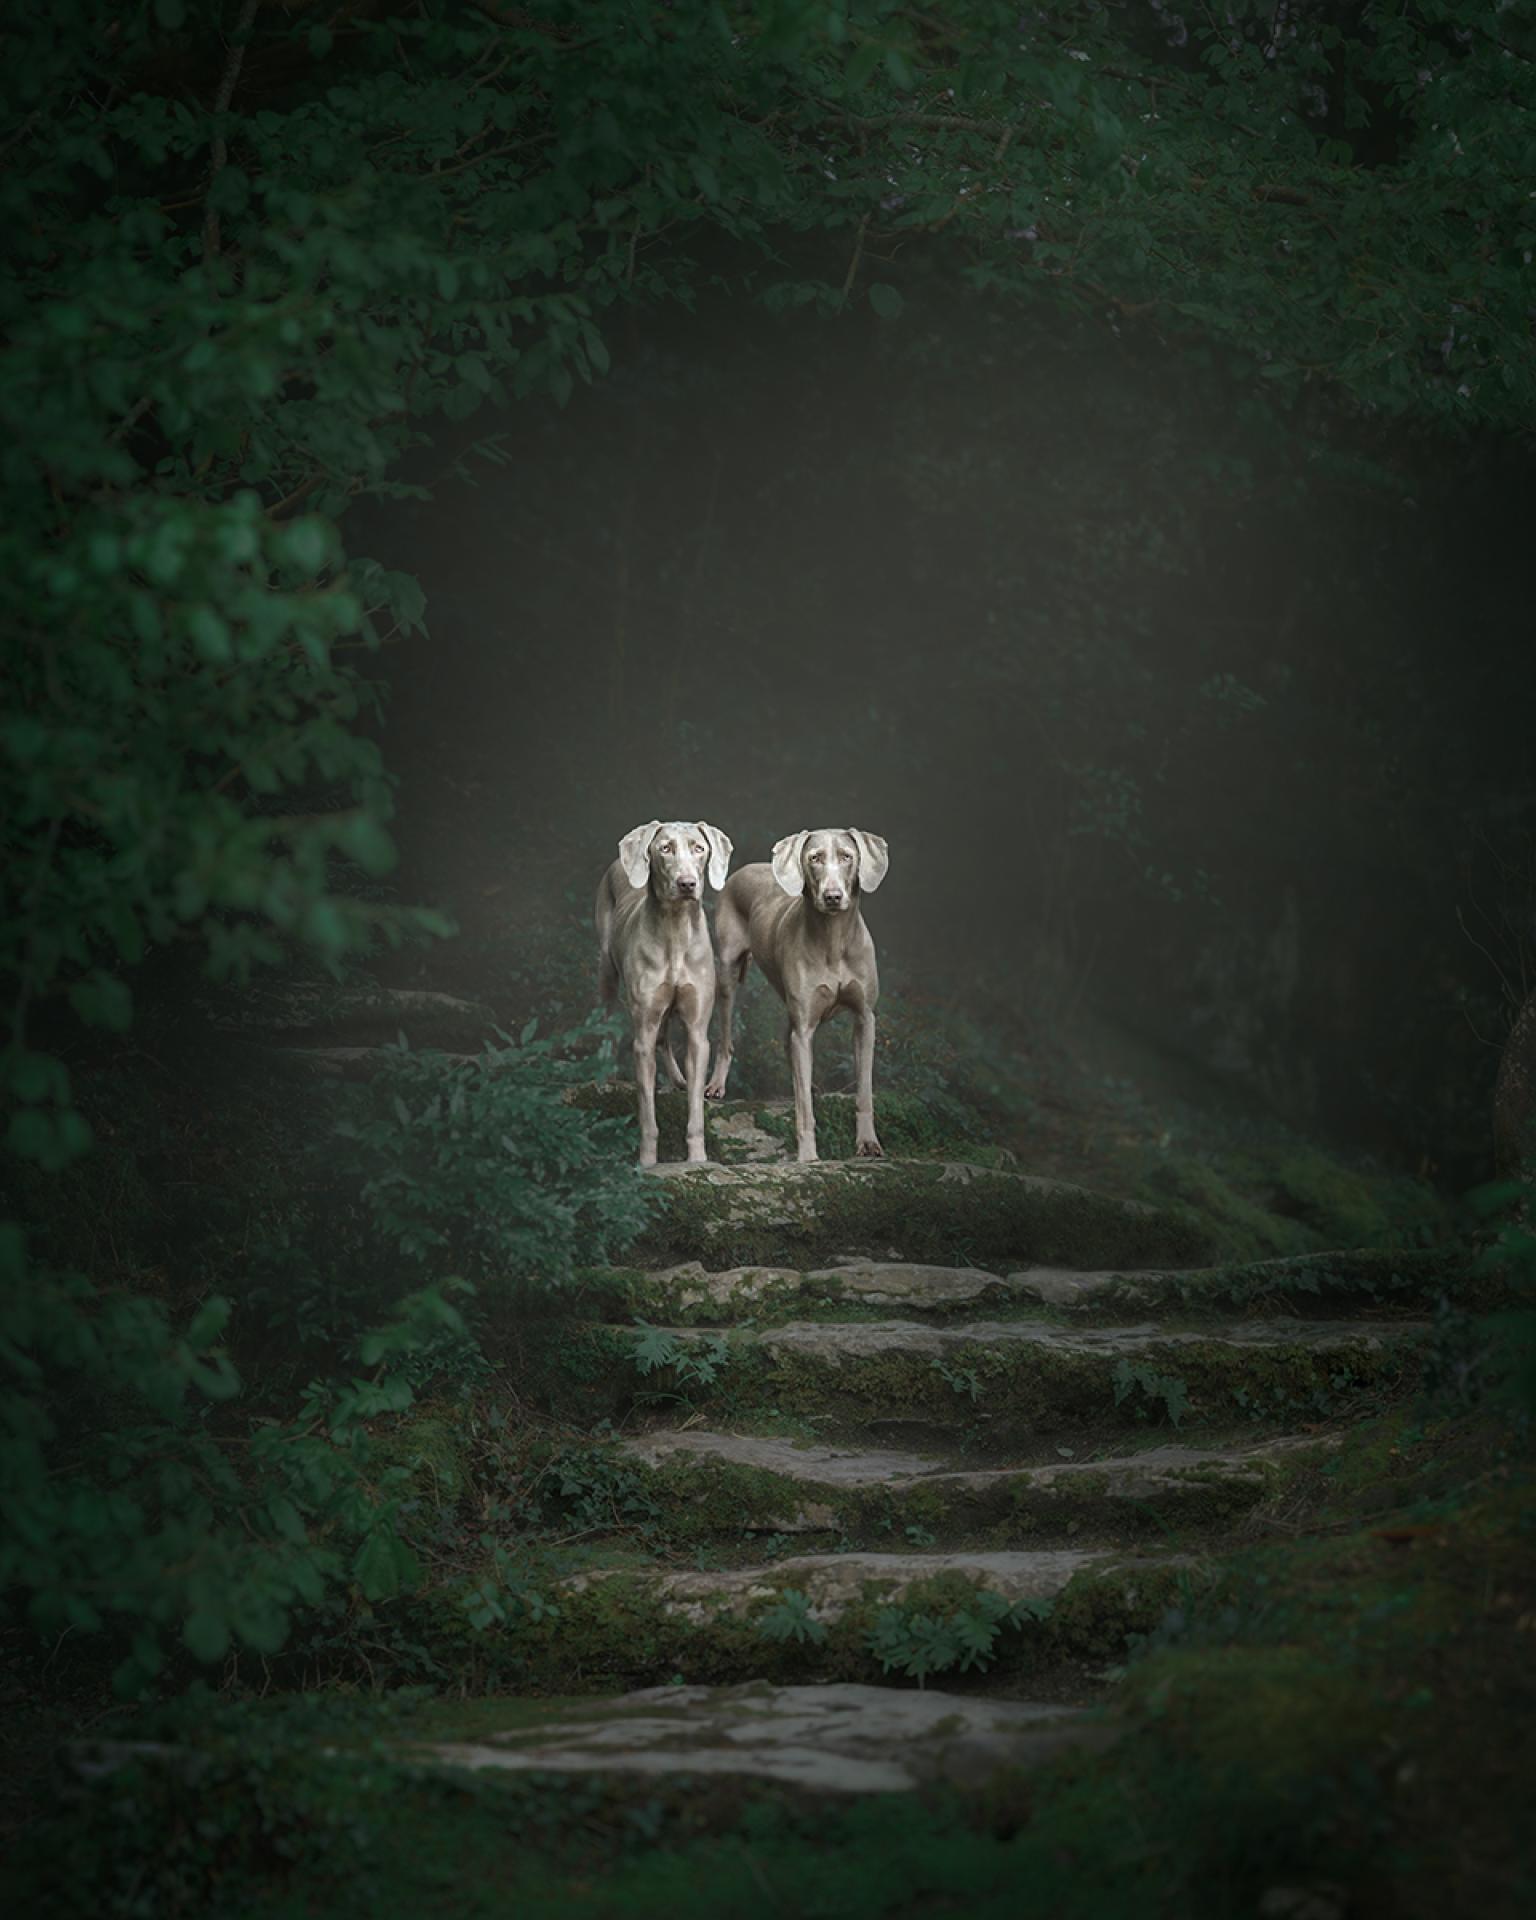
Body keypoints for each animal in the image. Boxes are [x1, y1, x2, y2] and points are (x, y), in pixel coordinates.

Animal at [595, 814, 733, 1159]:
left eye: (699, 848)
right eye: (665, 849)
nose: (687, 884)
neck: (675, 930)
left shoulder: (697, 1033)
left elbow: (695, 1109)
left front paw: (697, 1158)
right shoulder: (641, 1036)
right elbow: (647, 1111)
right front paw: (647, 1161)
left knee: (664, 1038)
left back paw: (678, 1079)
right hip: (606, 969)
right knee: (606, 1019)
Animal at [706, 821, 887, 1152]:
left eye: (847, 856)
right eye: (814, 858)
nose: (832, 896)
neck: (833, 939)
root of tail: (745, 868)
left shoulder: (865, 1019)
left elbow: (865, 1089)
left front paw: (868, 1142)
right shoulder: (804, 1027)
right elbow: (804, 1108)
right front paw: (808, 1154)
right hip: (727, 971)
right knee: (726, 1037)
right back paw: (717, 1083)